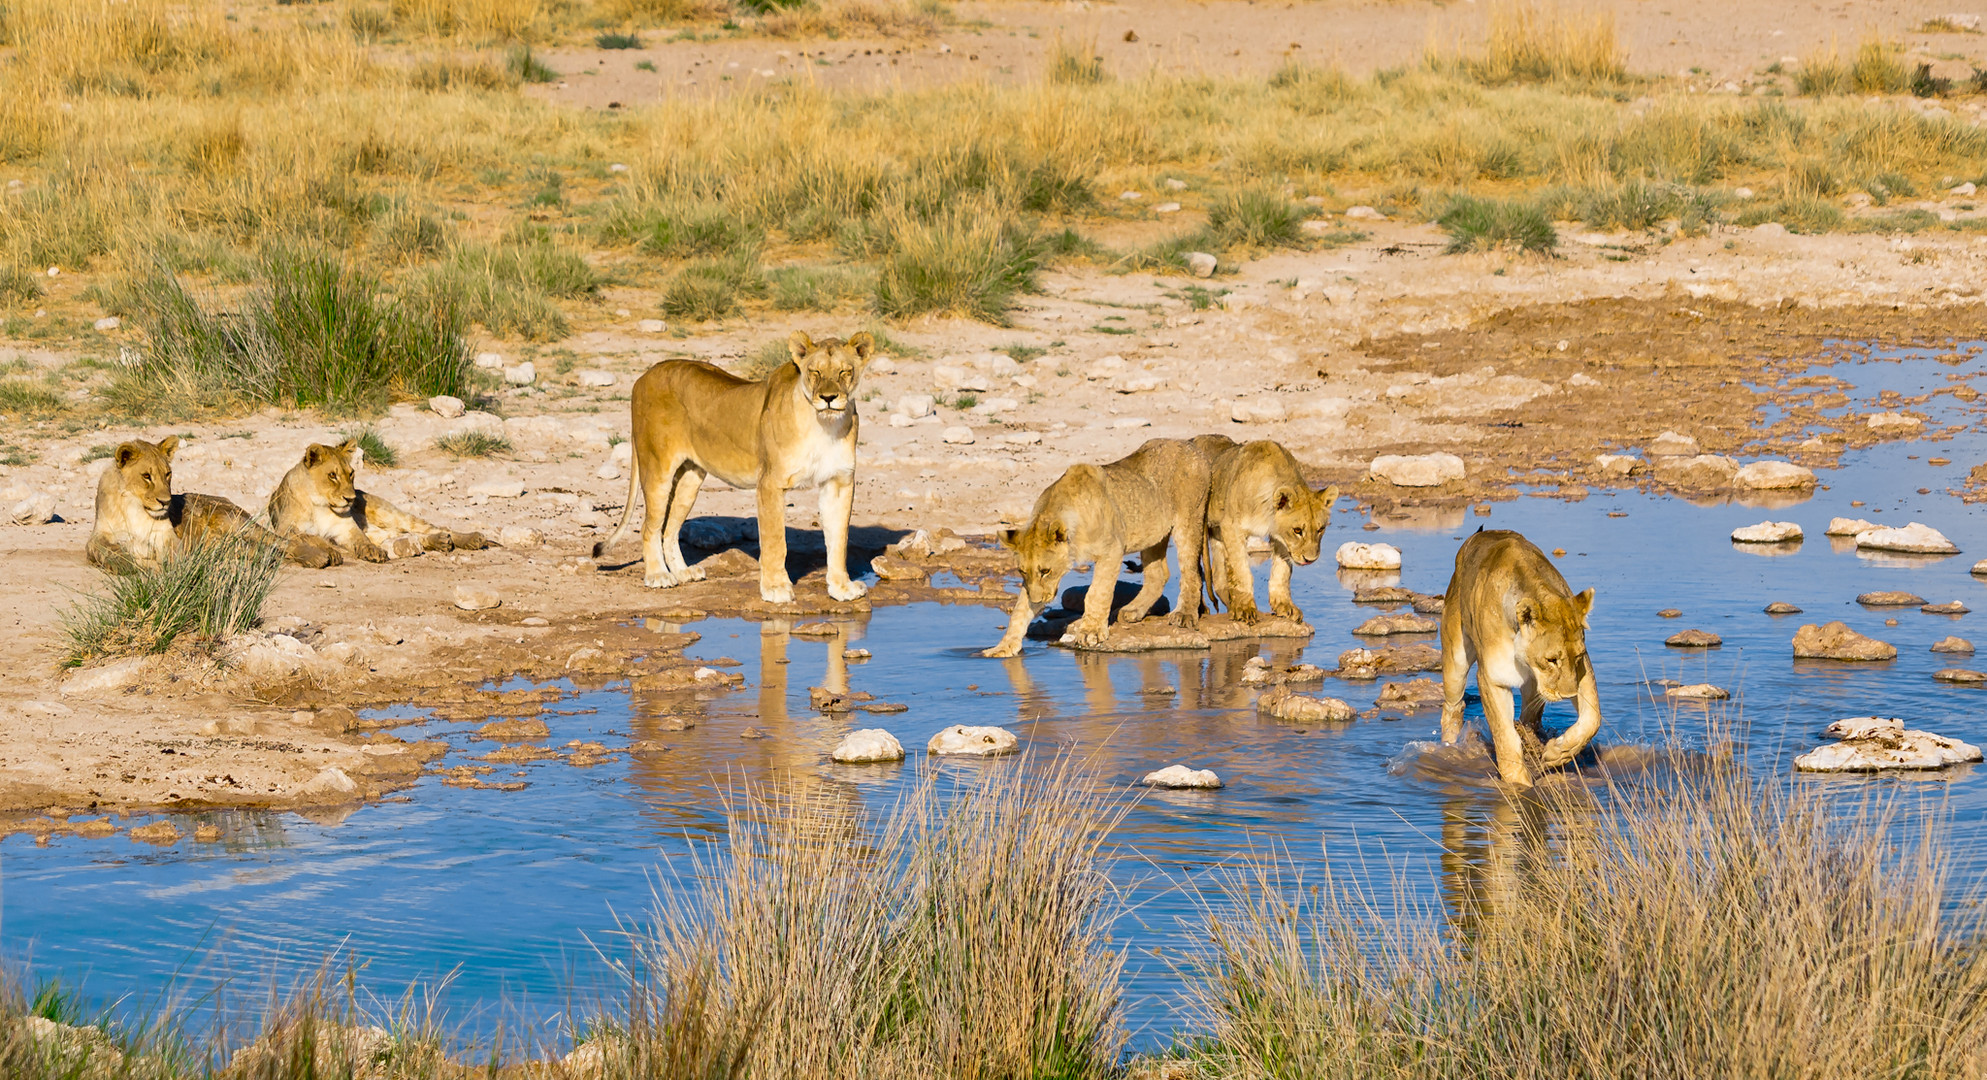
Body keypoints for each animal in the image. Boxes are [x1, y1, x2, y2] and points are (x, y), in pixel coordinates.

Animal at [85, 436, 339, 571]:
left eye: (167, 474)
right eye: (146, 476)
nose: (165, 502)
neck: (135, 507)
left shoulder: (167, 536)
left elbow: (172, 555)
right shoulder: (99, 535)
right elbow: (103, 549)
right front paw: (128, 563)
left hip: (236, 523)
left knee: (282, 541)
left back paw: (318, 557)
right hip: (232, 543)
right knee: (262, 551)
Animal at [268, 436, 488, 559]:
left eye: (351, 473)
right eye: (332, 475)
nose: (350, 499)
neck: (320, 504)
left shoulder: (347, 529)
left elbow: (362, 540)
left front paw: (372, 552)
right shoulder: (285, 528)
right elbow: (311, 536)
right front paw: (328, 551)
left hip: (391, 514)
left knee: (434, 527)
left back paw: (471, 539)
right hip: (383, 531)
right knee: (410, 537)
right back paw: (441, 542)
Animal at [977, 436, 1208, 659]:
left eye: (1046, 571)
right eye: (1022, 571)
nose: (1038, 600)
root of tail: (1189, 444)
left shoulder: (1112, 550)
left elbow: (1097, 592)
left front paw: (1090, 632)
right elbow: (1019, 610)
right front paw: (1003, 647)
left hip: (1189, 520)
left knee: (1191, 572)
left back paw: (1184, 614)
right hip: (1152, 532)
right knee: (1158, 574)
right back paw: (1132, 611)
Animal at [1192, 436, 1335, 623]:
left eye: (1320, 529)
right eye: (1297, 530)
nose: (1310, 559)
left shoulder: (1280, 538)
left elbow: (1282, 572)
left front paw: (1285, 606)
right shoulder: (1231, 526)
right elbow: (1241, 570)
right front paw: (1244, 609)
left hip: (1216, 532)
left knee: (1218, 575)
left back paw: (1230, 606)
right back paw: (1201, 609)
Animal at [1438, 528, 1605, 786]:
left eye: (1575, 657)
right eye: (1552, 660)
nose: (1569, 695)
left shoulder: (1582, 670)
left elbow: (1592, 718)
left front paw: (1558, 753)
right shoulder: (1492, 678)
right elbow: (1505, 737)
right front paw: (1518, 784)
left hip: (1533, 688)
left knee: (1530, 717)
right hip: (1455, 657)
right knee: (1454, 706)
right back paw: (1449, 746)